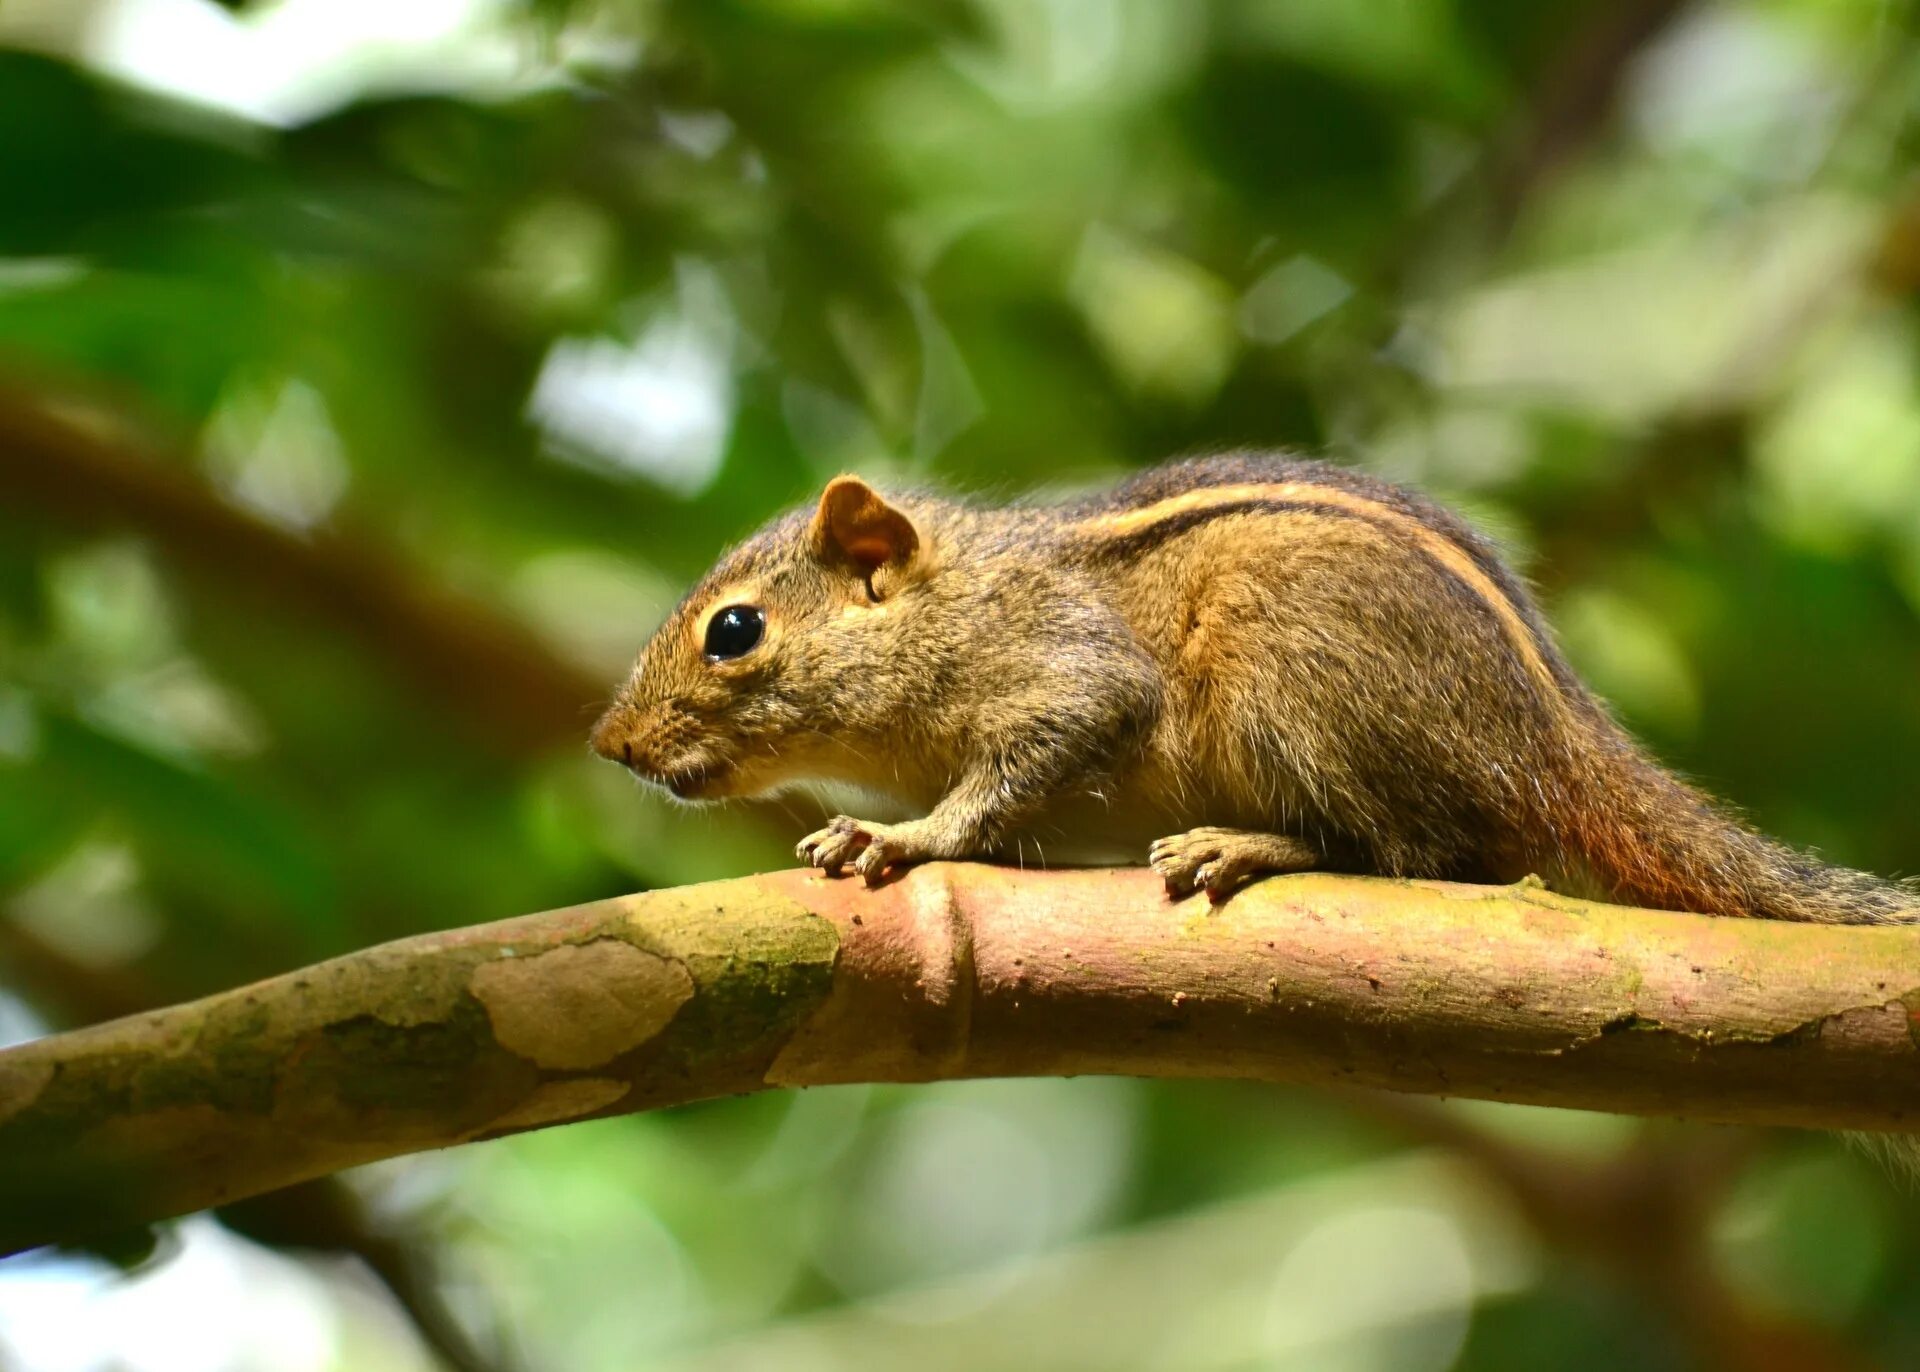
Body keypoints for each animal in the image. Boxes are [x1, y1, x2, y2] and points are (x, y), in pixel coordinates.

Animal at [591, 456, 1912, 928]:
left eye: (735, 631)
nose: (609, 743)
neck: (958, 594)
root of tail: (1557, 741)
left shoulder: (1062, 667)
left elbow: (1034, 754)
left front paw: (903, 837)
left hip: (1292, 672)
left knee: (1426, 855)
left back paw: (1253, 847)